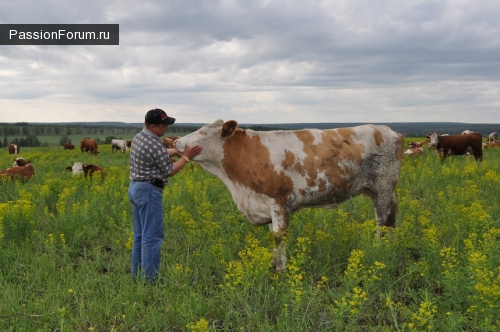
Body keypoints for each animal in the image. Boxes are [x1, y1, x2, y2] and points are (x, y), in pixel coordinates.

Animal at [174, 120, 404, 272]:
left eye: (203, 132)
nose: (175, 142)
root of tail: (390, 131)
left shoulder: (279, 202)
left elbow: (279, 236)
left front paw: (281, 271)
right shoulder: (264, 205)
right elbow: (272, 236)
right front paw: (273, 265)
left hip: (383, 187)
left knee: (384, 220)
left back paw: (382, 252)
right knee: (388, 219)